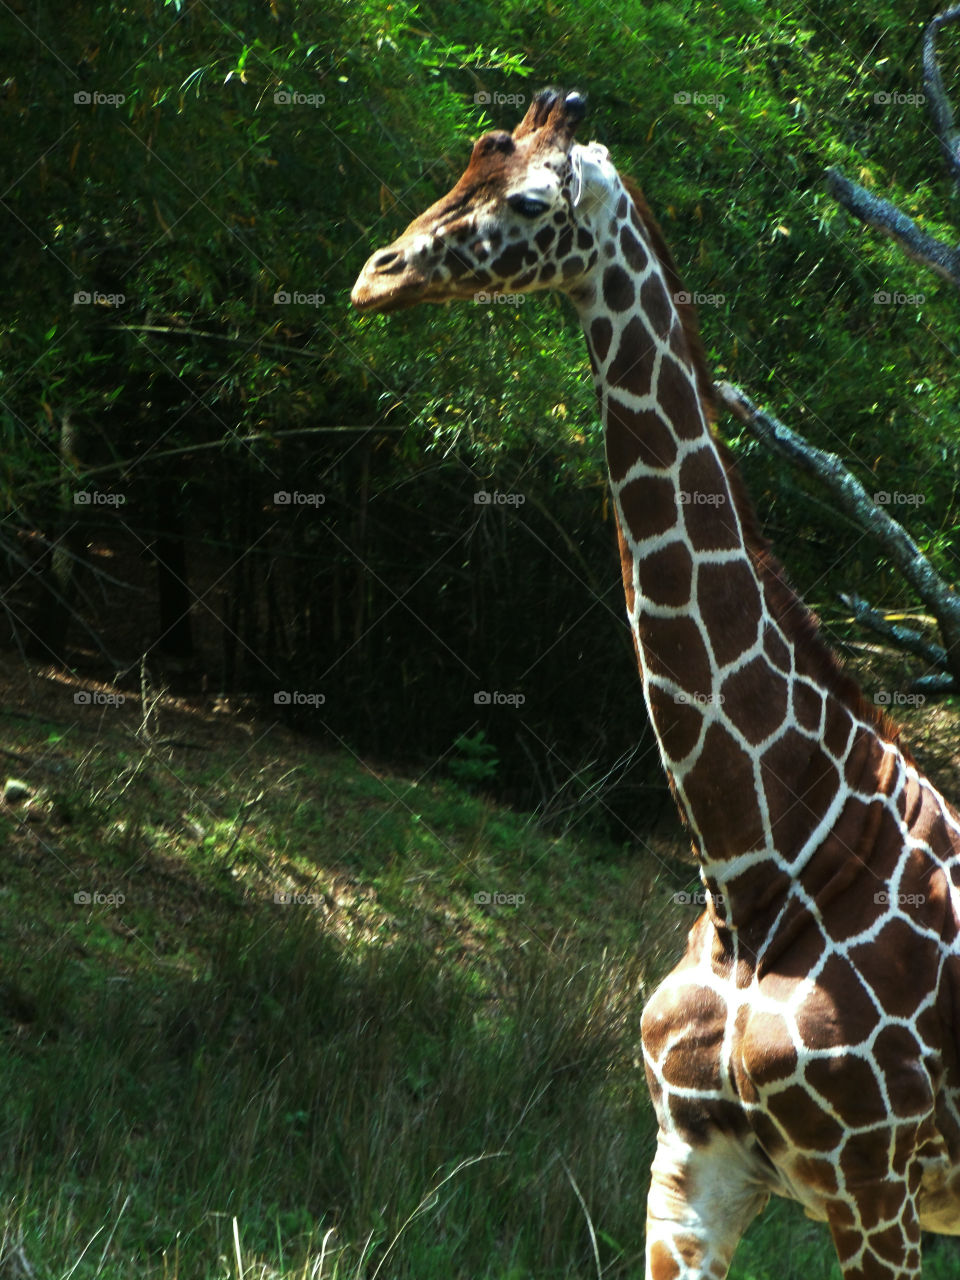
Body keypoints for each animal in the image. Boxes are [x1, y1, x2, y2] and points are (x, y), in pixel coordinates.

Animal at [350, 90, 960, 1280]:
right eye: (465, 167)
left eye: (527, 201)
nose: (376, 274)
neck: (759, 862)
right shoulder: (690, 1164)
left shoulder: (875, 1180)